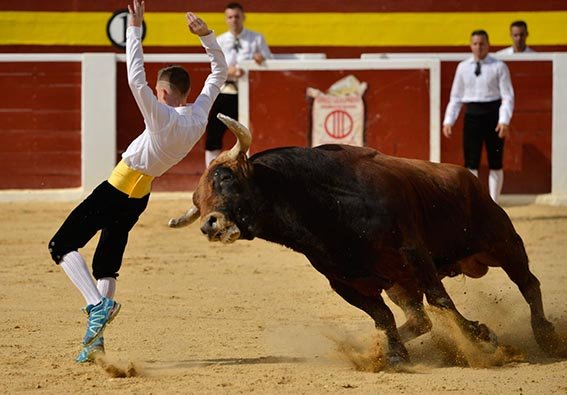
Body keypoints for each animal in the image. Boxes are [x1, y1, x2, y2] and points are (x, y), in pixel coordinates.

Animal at [169, 113, 564, 366]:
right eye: (197, 202)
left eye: (225, 177)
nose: (209, 224)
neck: (323, 206)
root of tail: (467, 177)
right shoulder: (346, 281)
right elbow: (383, 316)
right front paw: (392, 355)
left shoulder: (413, 253)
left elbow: (440, 300)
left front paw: (480, 335)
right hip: (400, 282)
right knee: (420, 320)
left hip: (503, 241)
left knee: (528, 283)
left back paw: (547, 336)